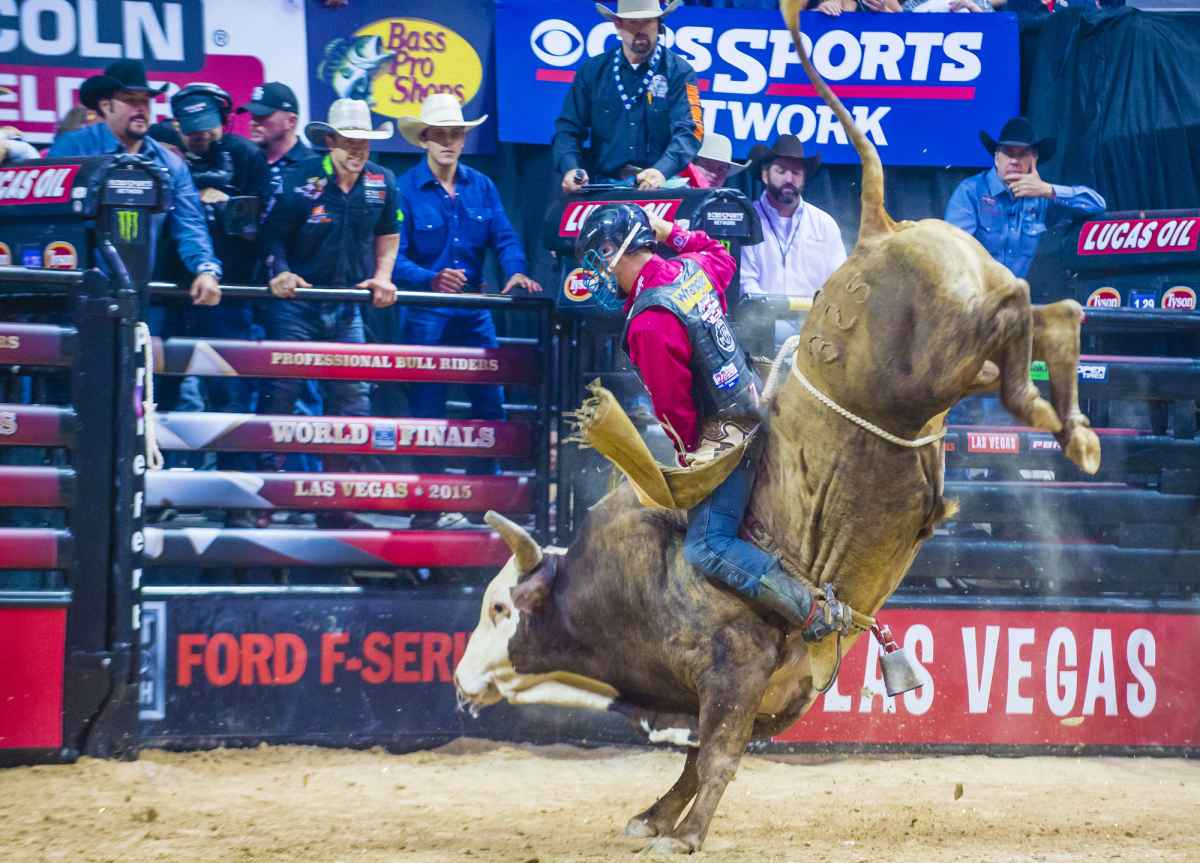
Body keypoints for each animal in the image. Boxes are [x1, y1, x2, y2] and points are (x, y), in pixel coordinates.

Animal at [451, 0, 1099, 849]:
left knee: (1024, 305)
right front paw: (652, 817)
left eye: (499, 607)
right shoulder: (761, 694)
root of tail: (877, 228)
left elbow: (716, 755)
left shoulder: (734, 666)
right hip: (958, 368)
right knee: (1052, 314)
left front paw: (685, 834)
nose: (459, 678)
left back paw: (1061, 420)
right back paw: (1068, 420)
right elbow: (695, 758)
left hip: (934, 358)